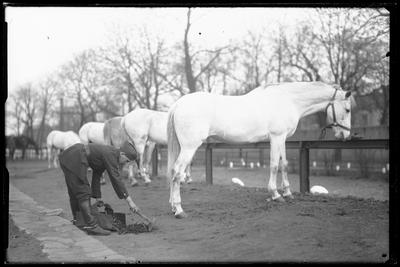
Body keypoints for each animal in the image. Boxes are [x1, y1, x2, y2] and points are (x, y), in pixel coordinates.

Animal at [167, 82, 352, 220]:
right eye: (348, 109)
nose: (346, 135)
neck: (288, 101)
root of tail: (178, 104)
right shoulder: (276, 137)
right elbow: (274, 165)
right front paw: (276, 195)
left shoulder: (282, 138)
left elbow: (284, 164)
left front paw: (288, 193)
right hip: (189, 147)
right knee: (177, 172)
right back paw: (179, 210)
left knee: (173, 172)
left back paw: (172, 206)